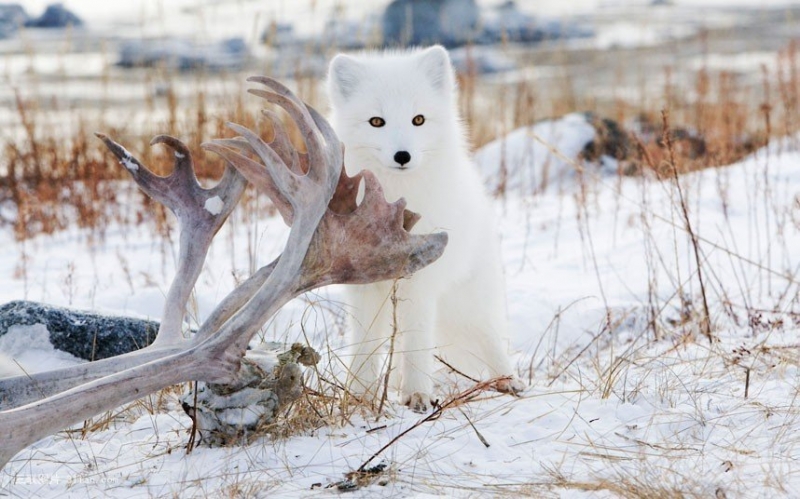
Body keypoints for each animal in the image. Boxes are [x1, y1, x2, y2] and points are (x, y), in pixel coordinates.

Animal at [324, 47, 520, 412]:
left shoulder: (421, 280)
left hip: (464, 301)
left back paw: (508, 380)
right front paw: (358, 396)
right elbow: (365, 344)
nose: (403, 155)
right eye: (377, 121)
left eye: (418, 120)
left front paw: (418, 395)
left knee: (488, 334)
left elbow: (416, 341)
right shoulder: (363, 285)